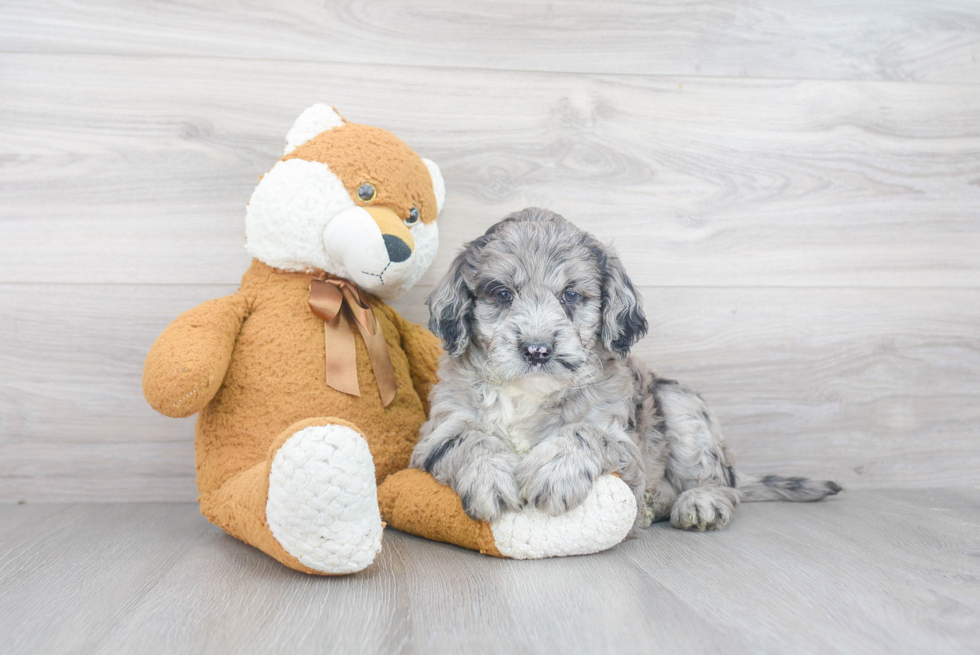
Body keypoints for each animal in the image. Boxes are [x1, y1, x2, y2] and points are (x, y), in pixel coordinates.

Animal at [410, 208, 840, 532]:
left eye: (571, 295)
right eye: (502, 294)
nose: (537, 350)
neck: (530, 393)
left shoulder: (624, 444)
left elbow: (587, 431)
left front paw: (555, 470)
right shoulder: (436, 431)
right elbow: (469, 436)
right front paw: (491, 479)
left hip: (680, 403)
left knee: (722, 484)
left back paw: (698, 502)